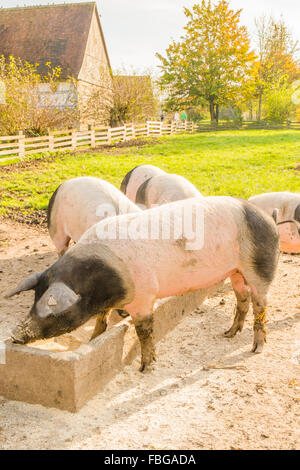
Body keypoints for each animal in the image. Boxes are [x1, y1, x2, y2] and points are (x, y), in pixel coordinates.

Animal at [6, 195, 278, 370]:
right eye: (33, 301)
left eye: (52, 312)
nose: (16, 334)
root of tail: (270, 218)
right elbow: (101, 321)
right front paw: (93, 340)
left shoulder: (144, 297)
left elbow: (144, 332)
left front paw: (146, 367)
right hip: (236, 271)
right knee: (242, 298)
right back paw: (229, 334)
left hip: (259, 267)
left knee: (261, 304)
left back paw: (256, 348)